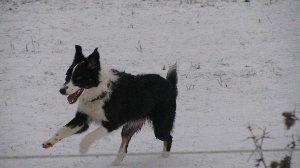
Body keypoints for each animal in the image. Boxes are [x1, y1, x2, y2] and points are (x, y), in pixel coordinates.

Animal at [42, 45, 178, 165]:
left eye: (78, 78)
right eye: (67, 76)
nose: (61, 90)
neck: (99, 92)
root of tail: (170, 84)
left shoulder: (112, 123)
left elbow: (90, 136)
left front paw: (83, 148)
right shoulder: (83, 118)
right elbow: (63, 130)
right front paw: (49, 141)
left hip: (160, 127)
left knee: (169, 138)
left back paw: (164, 159)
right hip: (129, 127)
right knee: (124, 149)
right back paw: (115, 164)